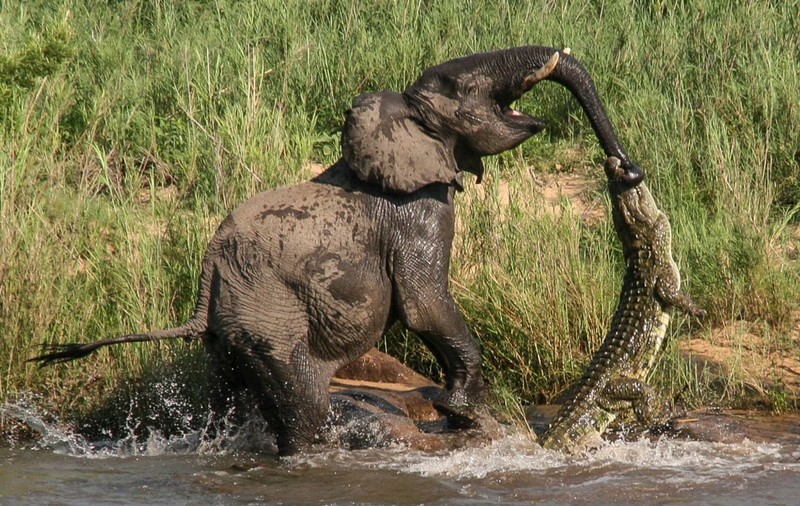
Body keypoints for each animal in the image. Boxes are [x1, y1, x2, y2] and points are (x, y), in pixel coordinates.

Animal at [31, 45, 643, 455]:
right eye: (455, 84)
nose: (626, 169)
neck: (400, 120)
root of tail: (208, 275)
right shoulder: (418, 211)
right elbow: (424, 303)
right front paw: (463, 413)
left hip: (231, 330)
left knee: (230, 395)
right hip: (269, 315)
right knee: (304, 403)